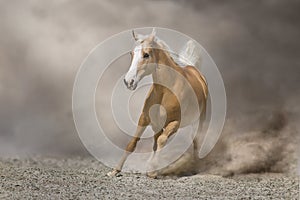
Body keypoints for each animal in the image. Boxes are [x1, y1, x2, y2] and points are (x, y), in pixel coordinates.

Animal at [108, 29, 209, 177]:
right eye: (131, 53)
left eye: (146, 54)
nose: (129, 81)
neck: (166, 90)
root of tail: (195, 70)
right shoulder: (144, 118)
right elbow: (132, 143)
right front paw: (115, 170)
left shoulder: (175, 123)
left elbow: (162, 140)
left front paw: (153, 171)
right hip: (157, 124)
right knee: (156, 142)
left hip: (199, 121)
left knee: (196, 141)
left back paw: (195, 168)